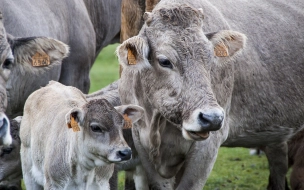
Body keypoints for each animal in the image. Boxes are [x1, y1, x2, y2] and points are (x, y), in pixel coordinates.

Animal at [117, 0, 304, 189]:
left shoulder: (207, 147)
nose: (212, 118)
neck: (157, 123)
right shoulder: (141, 142)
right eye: (164, 61)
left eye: (210, 58)